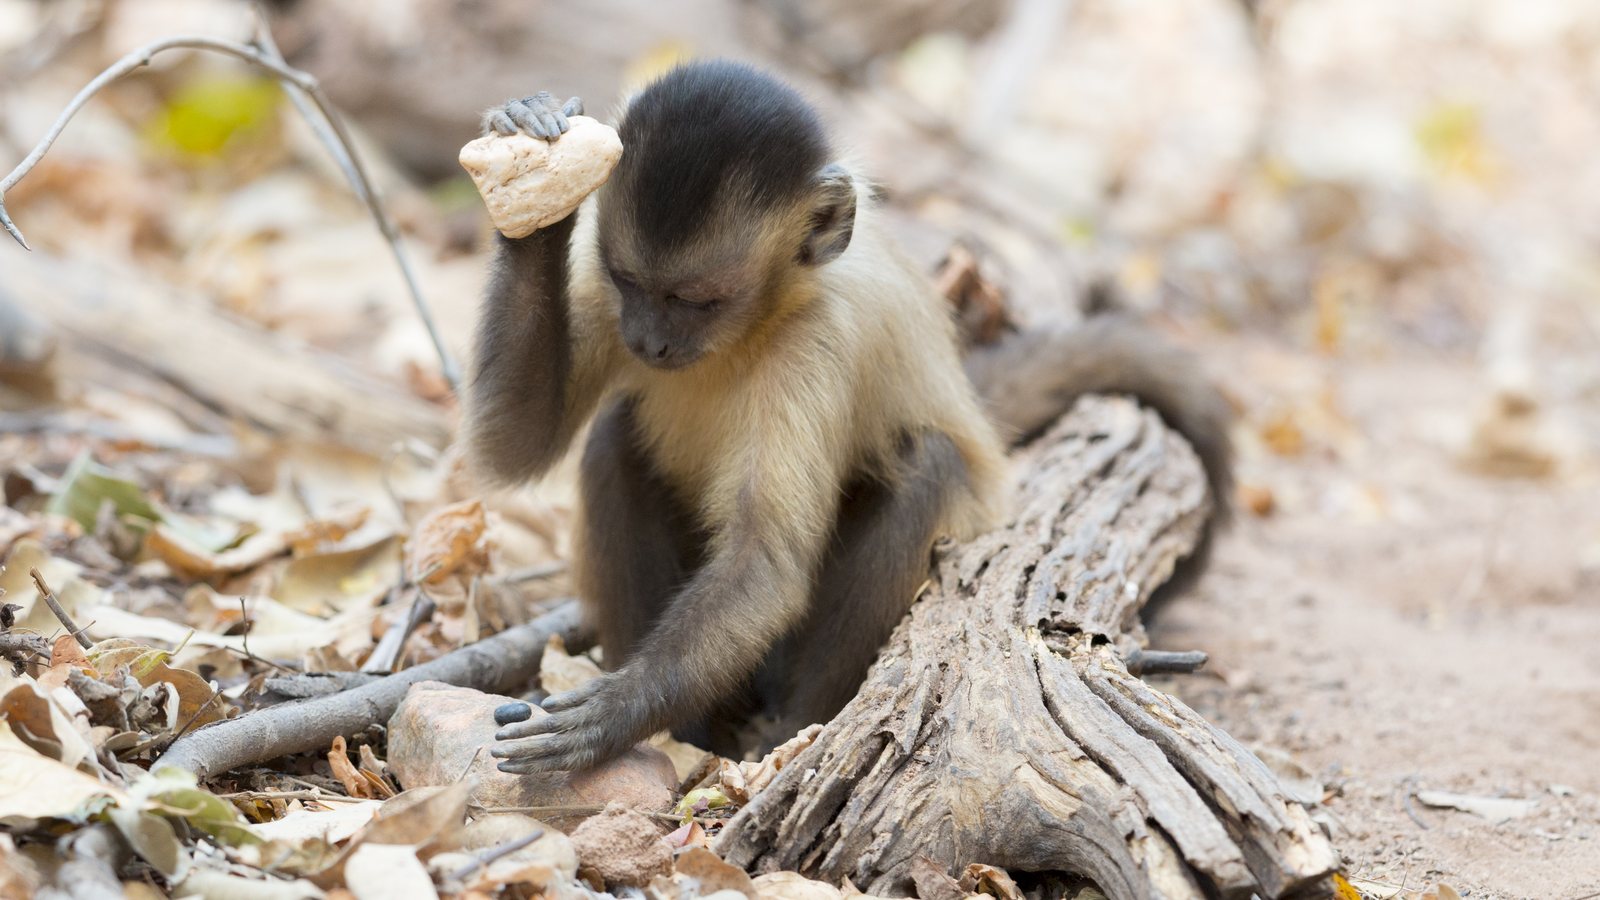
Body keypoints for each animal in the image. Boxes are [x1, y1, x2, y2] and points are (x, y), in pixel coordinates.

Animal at [465, 61, 1232, 774]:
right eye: (631, 284)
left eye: (698, 302)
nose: (647, 342)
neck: (760, 321)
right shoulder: (603, 295)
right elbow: (515, 446)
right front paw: (534, 177)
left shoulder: (818, 341)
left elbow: (765, 565)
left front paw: (614, 713)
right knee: (614, 439)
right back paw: (694, 734)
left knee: (927, 462)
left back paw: (787, 730)